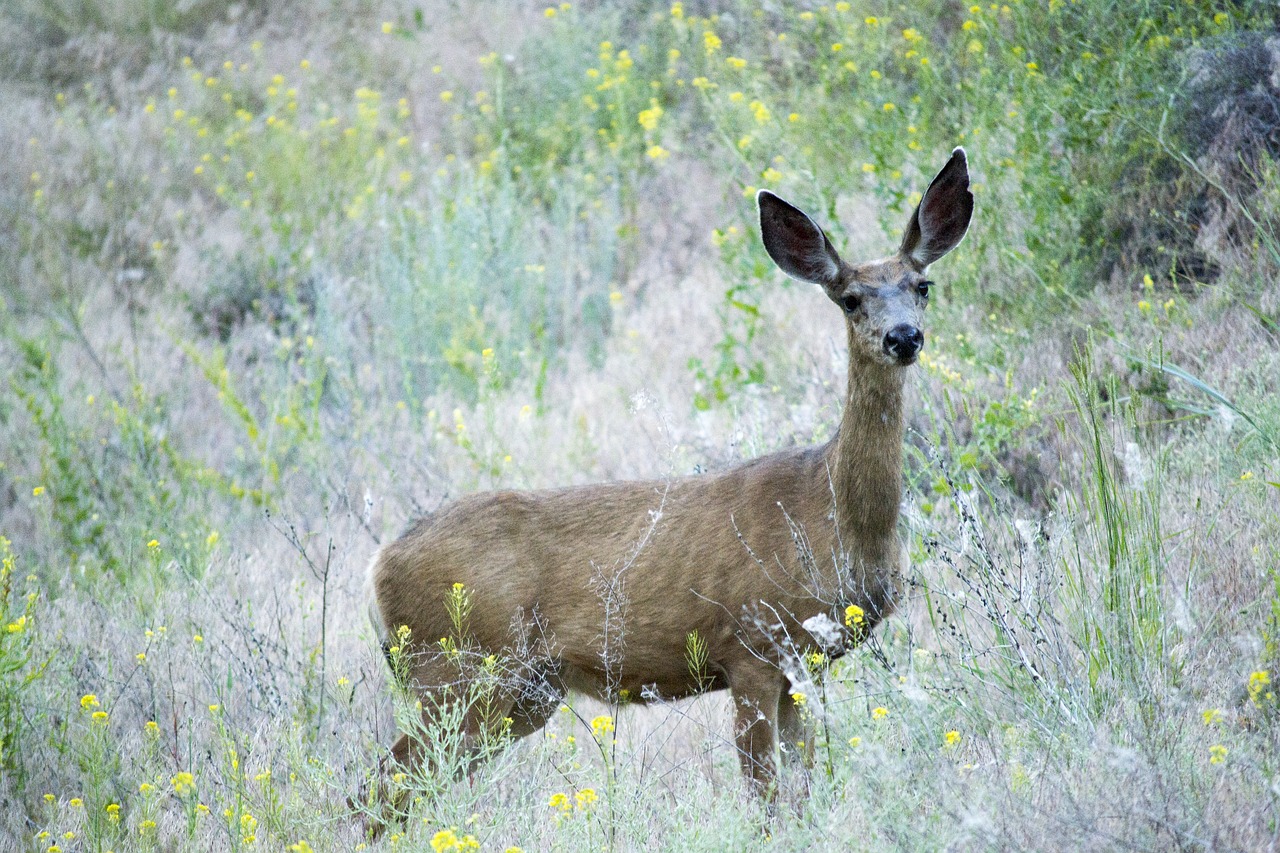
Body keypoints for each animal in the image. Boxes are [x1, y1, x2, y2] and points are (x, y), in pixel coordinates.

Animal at [366, 149, 972, 809]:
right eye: (850, 299)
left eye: (922, 287)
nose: (903, 337)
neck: (831, 513)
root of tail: (379, 565)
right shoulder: (750, 645)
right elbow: (765, 798)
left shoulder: (803, 665)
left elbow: (801, 791)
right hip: (462, 670)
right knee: (380, 786)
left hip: (521, 693)